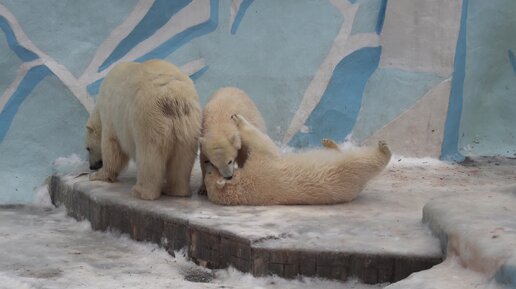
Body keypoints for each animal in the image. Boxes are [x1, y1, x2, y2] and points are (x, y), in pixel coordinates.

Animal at [84, 59, 202, 199]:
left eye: (88, 148)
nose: (92, 166)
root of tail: (172, 97)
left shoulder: (111, 115)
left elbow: (112, 146)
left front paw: (98, 175)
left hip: (148, 117)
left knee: (149, 155)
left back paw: (141, 191)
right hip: (187, 123)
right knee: (183, 158)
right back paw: (176, 190)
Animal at [204, 113, 394, 206]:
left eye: (210, 167)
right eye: (209, 172)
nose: (207, 167)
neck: (243, 187)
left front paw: (235, 118)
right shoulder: (262, 169)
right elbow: (262, 144)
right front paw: (239, 120)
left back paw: (328, 142)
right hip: (349, 173)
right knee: (365, 162)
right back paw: (384, 149)